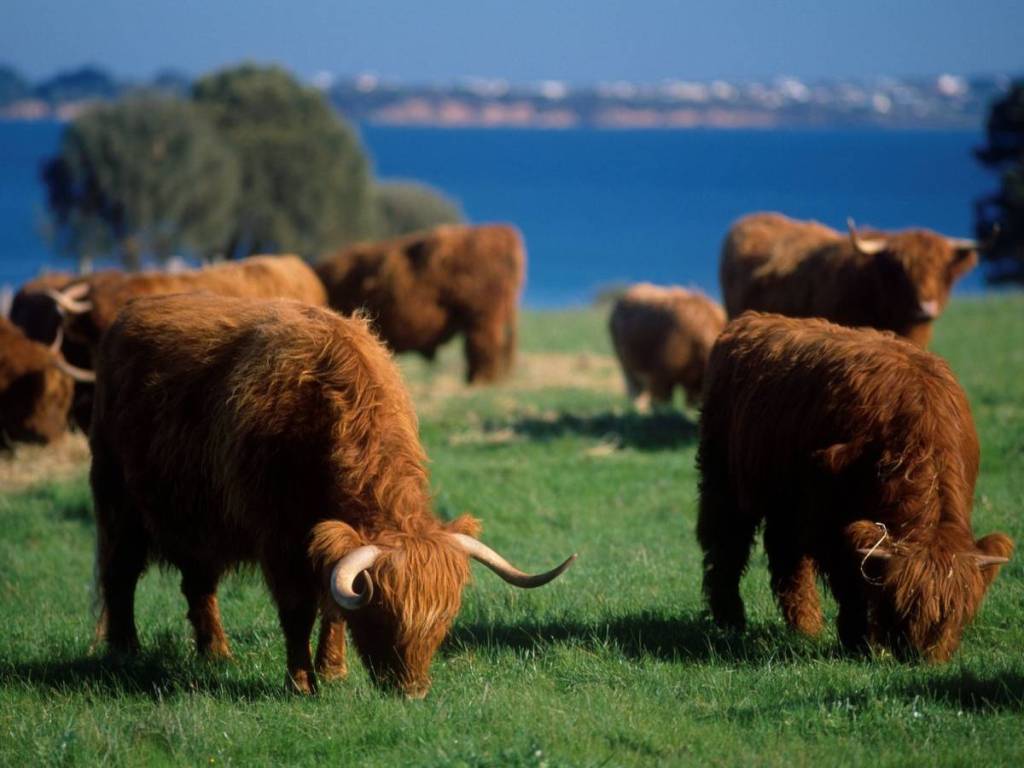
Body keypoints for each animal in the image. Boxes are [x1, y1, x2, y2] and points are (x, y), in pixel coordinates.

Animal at [90, 293, 575, 697]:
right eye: (382, 615)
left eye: (444, 620)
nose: (413, 691)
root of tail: (131, 312)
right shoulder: (279, 540)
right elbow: (298, 610)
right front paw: (302, 682)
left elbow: (334, 606)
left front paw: (333, 671)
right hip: (118, 502)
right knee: (120, 574)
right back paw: (125, 651)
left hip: (198, 522)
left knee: (197, 584)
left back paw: (216, 655)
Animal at [696, 312, 1012, 662]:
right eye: (902, 605)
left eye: (955, 612)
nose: (920, 656)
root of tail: (751, 320)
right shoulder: (828, 518)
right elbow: (849, 582)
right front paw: (858, 640)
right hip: (723, 479)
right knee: (726, 544)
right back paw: (730, 618)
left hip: (785, 500)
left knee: (784, 554)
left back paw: (805, 626)